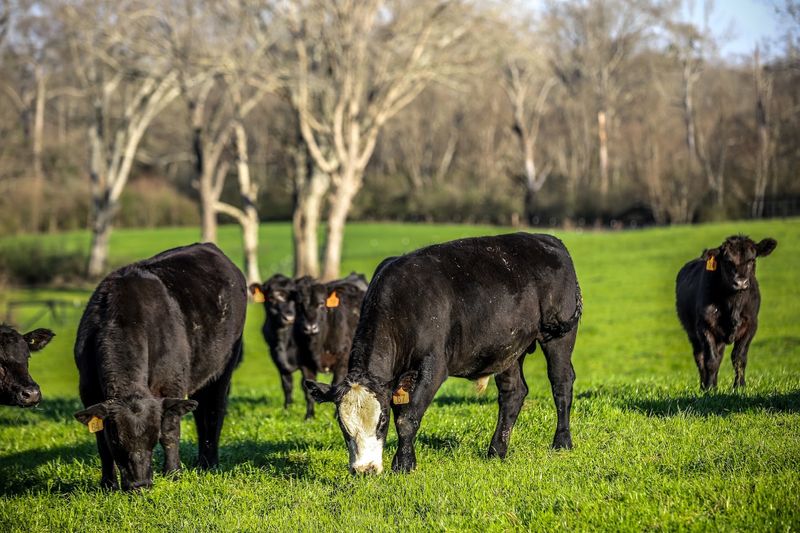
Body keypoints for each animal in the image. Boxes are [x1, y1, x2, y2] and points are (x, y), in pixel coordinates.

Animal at [73, 243, 247, 491]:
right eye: (117, 439)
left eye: (152, 438)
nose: (140, 484)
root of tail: (208, 246)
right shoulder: (89, 391)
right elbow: (101, 444)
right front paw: (107, 483)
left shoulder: (171, 384)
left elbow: (171, 431)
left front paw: (173, 472)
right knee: (200, 412)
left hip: (224, 369)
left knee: (214, 410)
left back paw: (209, 463)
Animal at [294, 274, 368, 418]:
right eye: (300, 304)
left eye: (321, 304)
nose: (310, 327)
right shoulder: (305, 363)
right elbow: (307, 389)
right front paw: (309, 416)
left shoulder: (342, 361)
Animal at [305, 233, 582, 475]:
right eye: (343, 426)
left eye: (381, 421)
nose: (364, 470)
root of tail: (549, 239)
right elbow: (403, 414)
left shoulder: (434, 367)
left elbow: (407, 419)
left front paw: (403, 465)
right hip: (508, 348)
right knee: (513, 393)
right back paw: (496, 450)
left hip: (558, 336)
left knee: (561, 382)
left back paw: (562, 442)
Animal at [676, 235, 777, 390]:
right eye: (728, 261)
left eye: (751, 260)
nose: (741, 282)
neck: (733, 305)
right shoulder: (705, 326)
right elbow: (711, 360)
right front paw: (709, 388)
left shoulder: (751, 325)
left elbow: (739, 358)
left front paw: (739, 386)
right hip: (693, 334)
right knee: (700, 358)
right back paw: (704, 386)